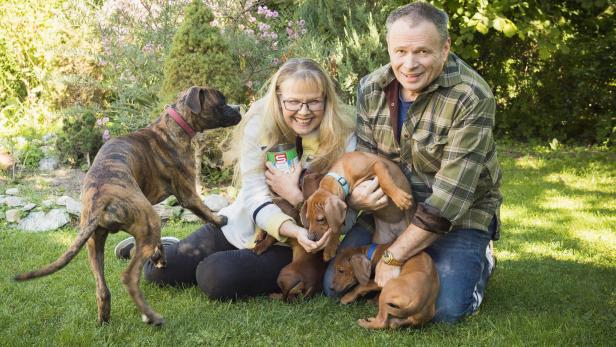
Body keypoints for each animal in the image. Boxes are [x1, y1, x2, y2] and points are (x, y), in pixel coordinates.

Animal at [14, 85, 241, 326]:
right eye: (222, 101)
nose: (239, 108)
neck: (173, 125)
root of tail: (101, 199)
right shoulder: (188, 194)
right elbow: (205, 210)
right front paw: (220, 219)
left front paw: (159, 256)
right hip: (145, 225)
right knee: (129, 277)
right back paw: (152, 316)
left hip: (96, 243)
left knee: (102, 289)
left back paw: (105, 319)